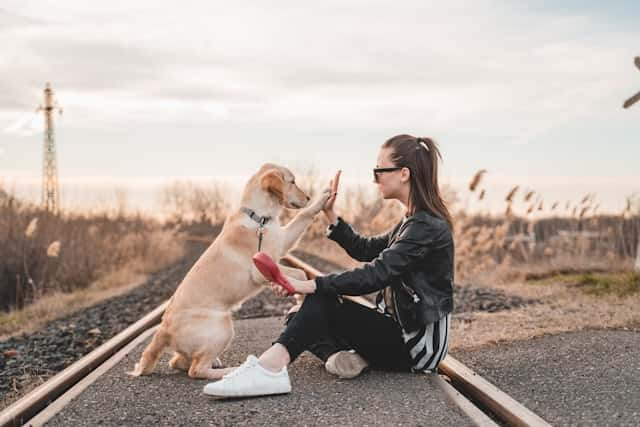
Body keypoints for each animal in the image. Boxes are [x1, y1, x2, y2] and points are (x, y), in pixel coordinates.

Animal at [128, 164, 332, 382]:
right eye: (292, 182)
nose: (308, 197)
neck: (259, 218)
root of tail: (162, 330)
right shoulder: (261, 268)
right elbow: (300, 273)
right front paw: (300, 301)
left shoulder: (283, 241)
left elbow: (303, 217)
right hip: (223, 326)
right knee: (196, 370)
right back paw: (231, 371)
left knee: (179, 362)